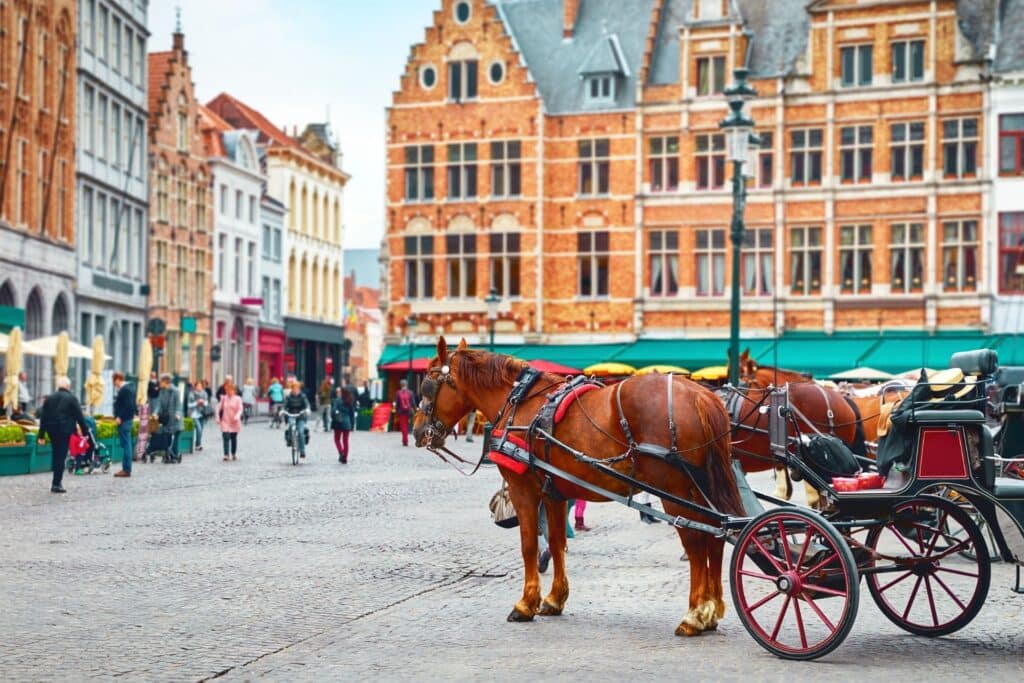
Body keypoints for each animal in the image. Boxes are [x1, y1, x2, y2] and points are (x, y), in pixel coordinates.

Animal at [413, 337, 743, 636]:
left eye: (428, 383)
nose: (417, 431)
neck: (519, 401)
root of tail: (701, 395)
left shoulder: (524, 490)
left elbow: (529, 545)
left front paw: (525, 603)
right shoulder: (554, 492)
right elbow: (557, 541)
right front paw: (554, 599)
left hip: (674, 491)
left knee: (696, 542)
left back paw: (694, 615)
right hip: (699, 488)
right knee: (714, 536)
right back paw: (712, 610)